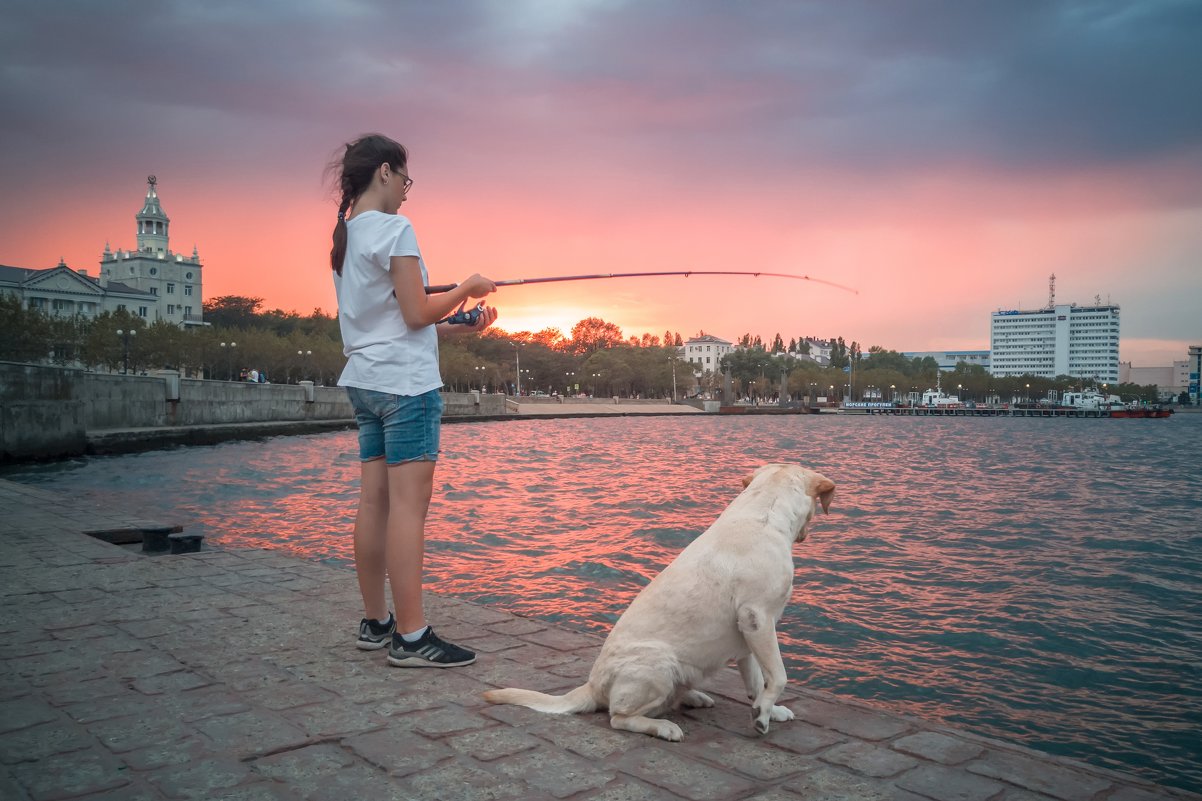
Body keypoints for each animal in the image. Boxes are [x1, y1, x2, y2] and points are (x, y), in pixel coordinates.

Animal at [480, 464, 836, 740]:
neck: (763, 513)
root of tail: (593, 686)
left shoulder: (745, 634)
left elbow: (757, 680)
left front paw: (768, 709)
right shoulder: (758, 618)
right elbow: (778, 675)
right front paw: (762, 716)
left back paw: (694, 697)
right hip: (659, 663)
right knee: (618, 716)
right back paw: (664, 727)